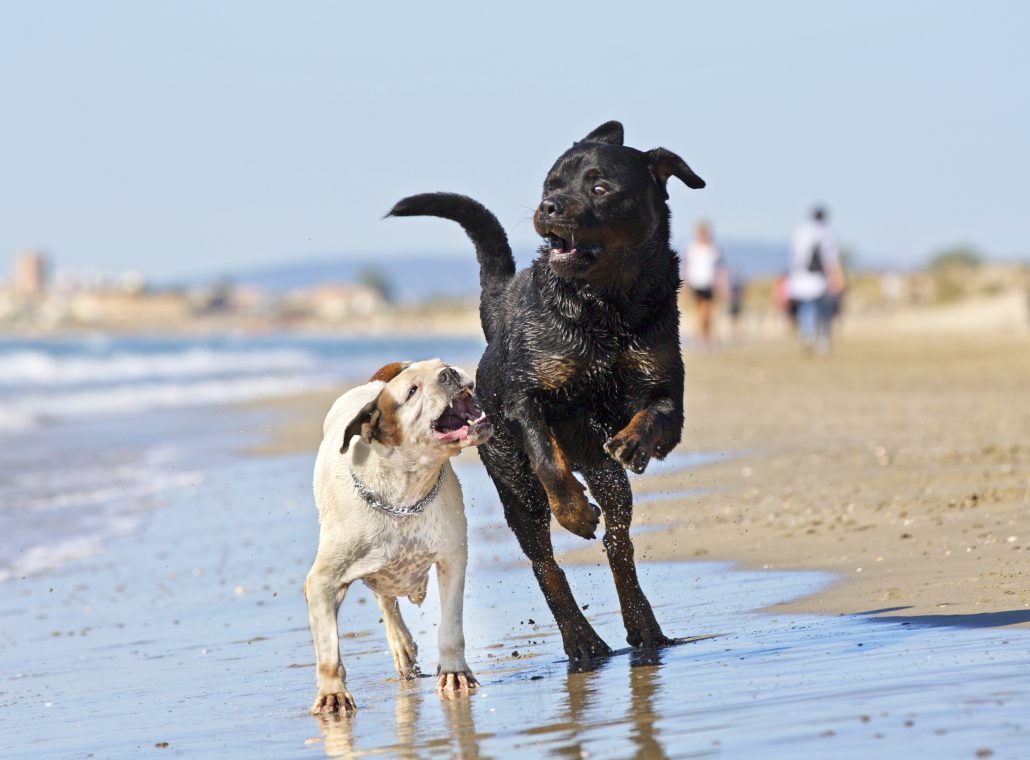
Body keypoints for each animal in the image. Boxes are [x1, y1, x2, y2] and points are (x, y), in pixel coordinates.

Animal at [304, 356, 490, 708]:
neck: (403, 493)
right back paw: (400, 646)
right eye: (413, 391)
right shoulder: (322, 582)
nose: (448, 373)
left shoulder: (452, 558)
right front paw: (333, 693)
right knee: (384, 599)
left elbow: (451, 626)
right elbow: (328, 648)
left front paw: (454, 672)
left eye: (442, 364)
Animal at [389, 118, 704, 659]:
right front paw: (575, 513)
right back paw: (581, 638)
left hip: (605, 477)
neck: (606, 305)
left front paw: (633, 443)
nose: (549, 208)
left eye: (599, 187)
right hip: (514, 486)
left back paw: (642, 626)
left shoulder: (665, 387)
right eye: (550, 185)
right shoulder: (526, 396)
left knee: (619, 542)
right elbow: (547, 458)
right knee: (544, 562)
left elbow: (655, 415)